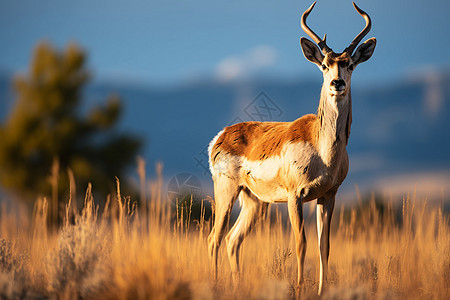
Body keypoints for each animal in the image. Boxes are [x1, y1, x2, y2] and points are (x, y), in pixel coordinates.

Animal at [207, 1, 376, 294]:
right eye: (324, 65)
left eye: (350, 64)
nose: (337, 83)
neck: (323, 151)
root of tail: (222, 135)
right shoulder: (295, 196)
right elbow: (301, 244)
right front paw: (297, 288)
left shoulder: (328, 196)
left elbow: (324, 247)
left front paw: (321, 291)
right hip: (226, 192)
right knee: (214, 238)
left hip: (254, 202)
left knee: (232, 240)